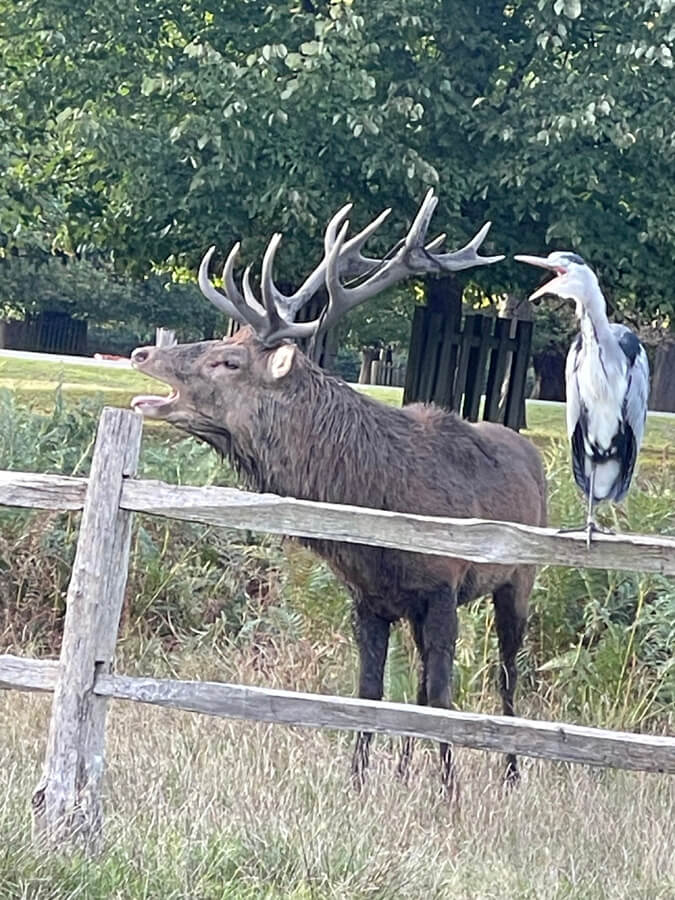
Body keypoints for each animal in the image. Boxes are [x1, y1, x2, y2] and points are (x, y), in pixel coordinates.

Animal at [129, 192, 548, 788]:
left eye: (228, 360)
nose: (143, 354)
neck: (378, 517)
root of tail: (534, 457)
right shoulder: (370, 598)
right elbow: (371, 693)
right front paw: (359, 781)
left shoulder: (443, 586)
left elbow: (442, 696)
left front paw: (449, 789)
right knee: (419, 683)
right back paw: (407, 769)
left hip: (519, 578)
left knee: (507, 673)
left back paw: (511, 773)